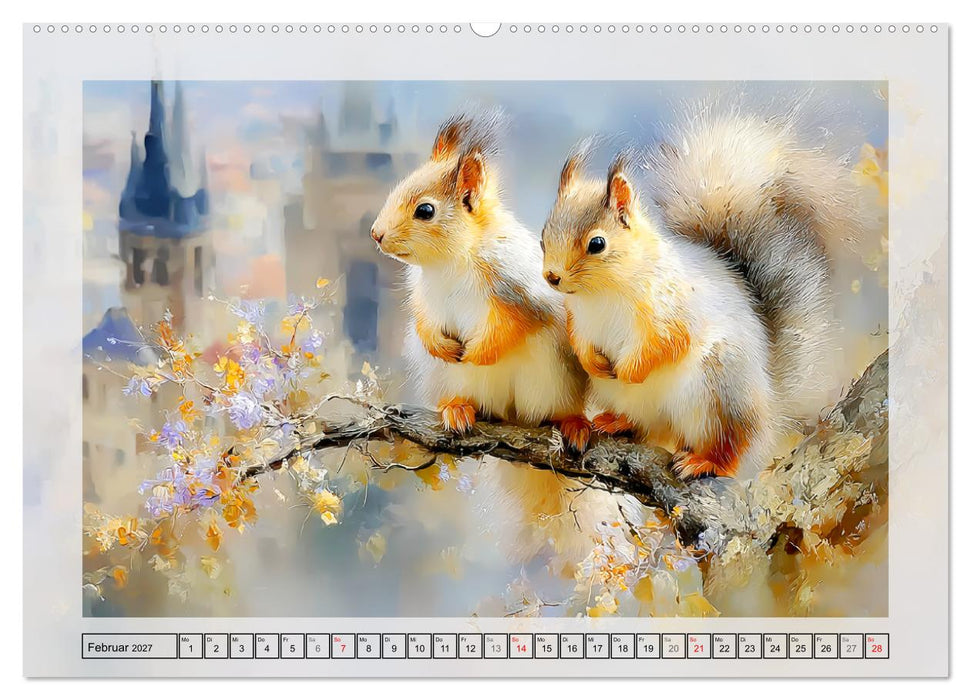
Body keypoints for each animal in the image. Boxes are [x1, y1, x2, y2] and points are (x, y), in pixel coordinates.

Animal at [541, 109, 863, 479]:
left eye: (597, 243)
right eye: (544, 234)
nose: (552, 277)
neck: (602, 291)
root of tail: (770, 402)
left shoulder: (673, 309)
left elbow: (667, 342)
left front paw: (628, 371)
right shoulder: (577, 316)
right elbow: (578, 340)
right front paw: (593, 362)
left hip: (718, 393)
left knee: (730, 446)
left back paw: (705, 461)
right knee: (649, 426)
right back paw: (615, 421)